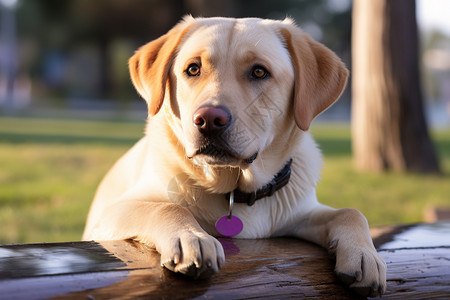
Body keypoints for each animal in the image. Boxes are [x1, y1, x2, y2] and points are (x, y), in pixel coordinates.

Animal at [84, 17, 386, 298]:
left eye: (259, 71)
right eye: (193, 69)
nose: (208, 120)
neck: (235, 190)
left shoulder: (300, 212)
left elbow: (350, 212)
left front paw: (365, 255)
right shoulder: (110, 214)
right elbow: (168, 207)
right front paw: (192, 238)